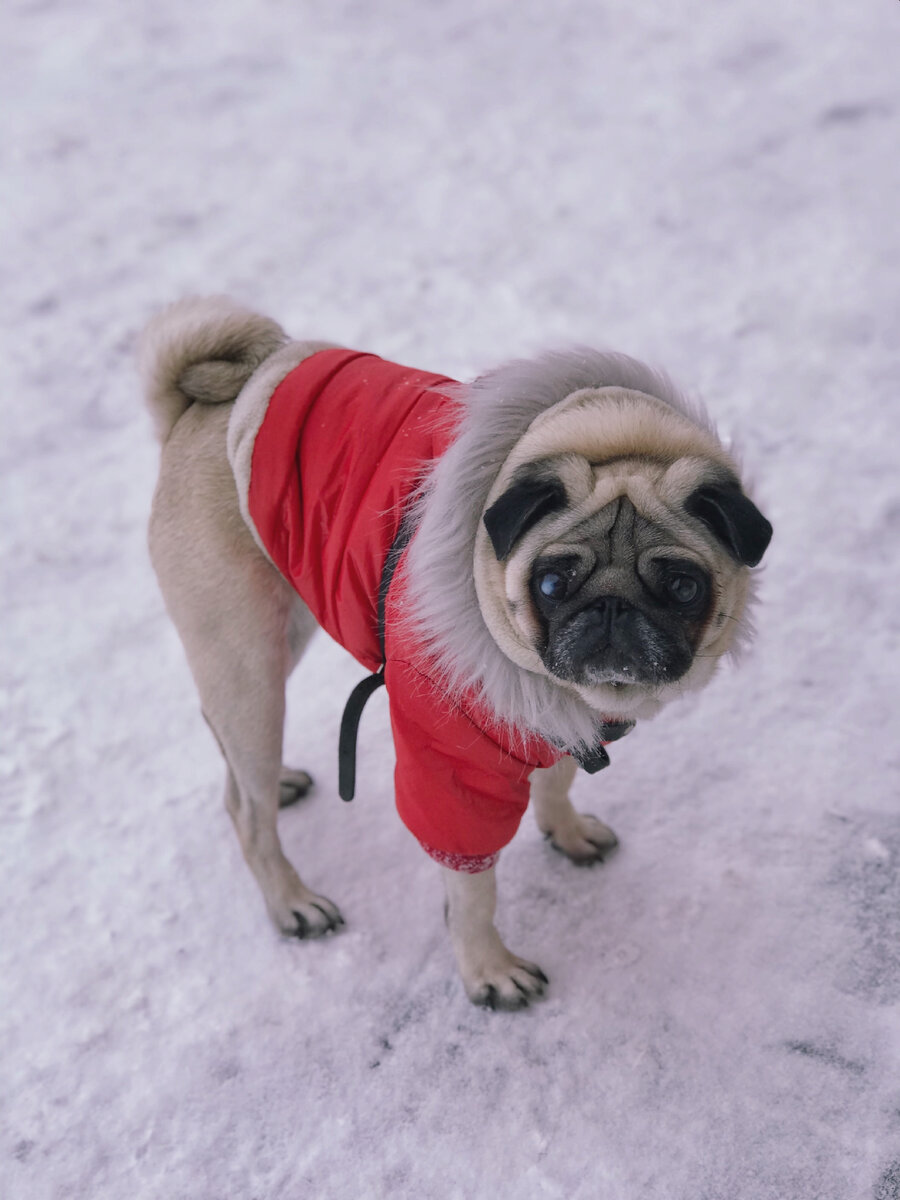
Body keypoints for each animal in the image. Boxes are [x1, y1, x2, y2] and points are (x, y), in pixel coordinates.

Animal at [142, 295, 777, 1008]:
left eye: (682, 586)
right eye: (552, 583)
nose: (612, 608)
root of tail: (199, 404)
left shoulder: (553, 714)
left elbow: (555, 780)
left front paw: (566, 832)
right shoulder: (452, 766)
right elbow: (473, 889)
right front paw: (489, 970)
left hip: (277, 637)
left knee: (232, 759)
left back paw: (278, 784)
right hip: (246, 658)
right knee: (247, 810)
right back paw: (292, 903)